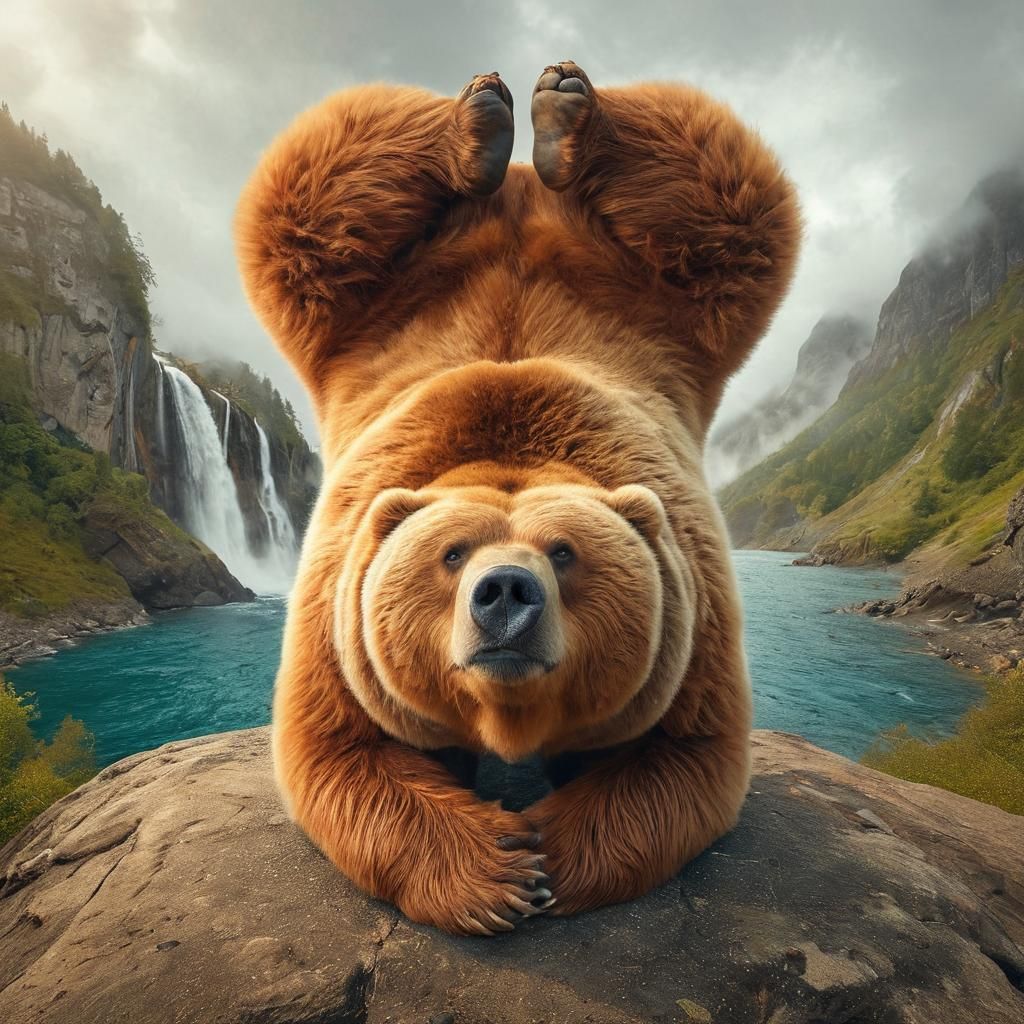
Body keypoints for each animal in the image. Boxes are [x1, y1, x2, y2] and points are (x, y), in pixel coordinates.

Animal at [235, 61, 800, 936]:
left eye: (564, 553)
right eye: (451, 553)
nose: (505, 593)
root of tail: (523, 195)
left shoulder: (690, 615)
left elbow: (685, 760)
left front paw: (550, 856)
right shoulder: (339, 606)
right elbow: (340, 753)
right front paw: (493, 870)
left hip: (674, 306)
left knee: (723, 210)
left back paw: (565, 116)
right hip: (359, 305)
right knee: (316, 197)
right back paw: (485, 124)